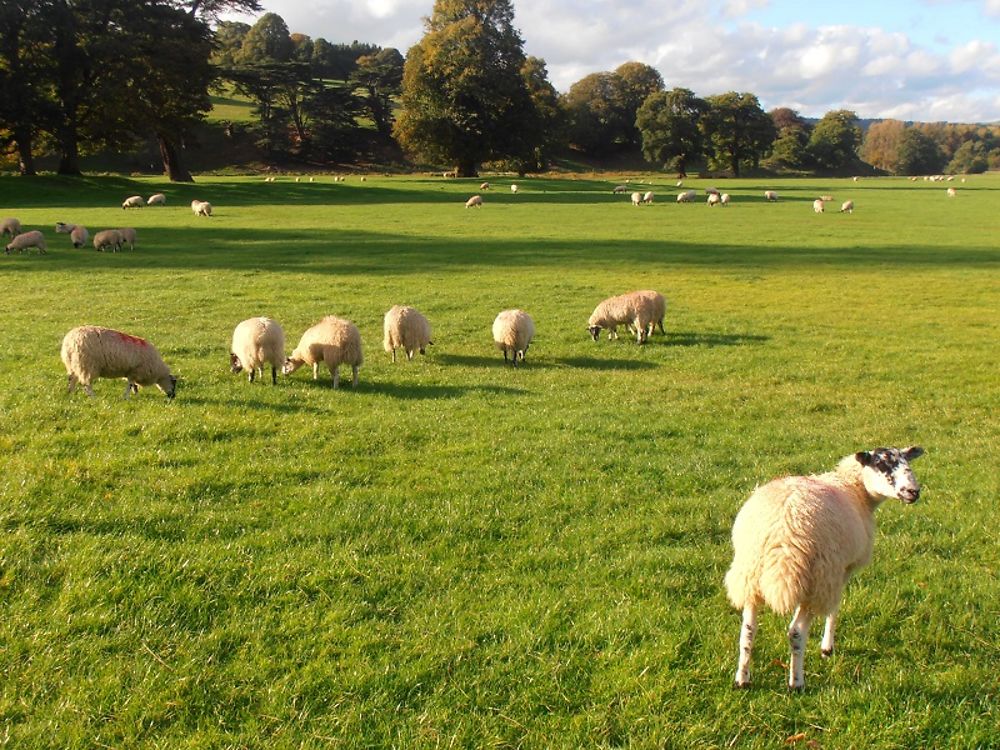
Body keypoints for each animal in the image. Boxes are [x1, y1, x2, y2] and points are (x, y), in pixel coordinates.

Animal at [724, 446, 924, 692]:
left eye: (907, 462)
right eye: (881, 464)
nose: (913, 491)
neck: (855, 488)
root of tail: (781, 535)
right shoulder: (842, 570)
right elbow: (835, 609)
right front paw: (827, 648)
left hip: (750, 575)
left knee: (748, 630)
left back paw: (742, 678)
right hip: (818, 579)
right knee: (796, 632)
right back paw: (796, 682)